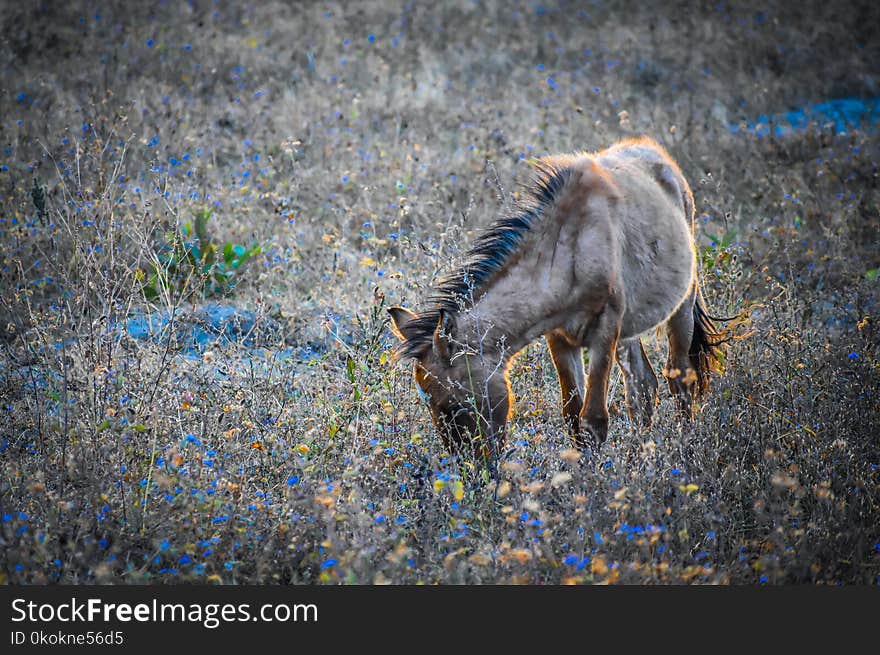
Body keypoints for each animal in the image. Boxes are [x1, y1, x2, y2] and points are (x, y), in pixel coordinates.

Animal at [388, 136, 724, 458]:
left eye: (453, 405)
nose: (474, 469)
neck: (569, 249)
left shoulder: (605, 331)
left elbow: (594, 420)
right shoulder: (560, 337)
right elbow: (573, 418)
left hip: (682, 307)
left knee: (679, 380)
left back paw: (683, 452)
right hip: (630, 331)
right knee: (642, 387)